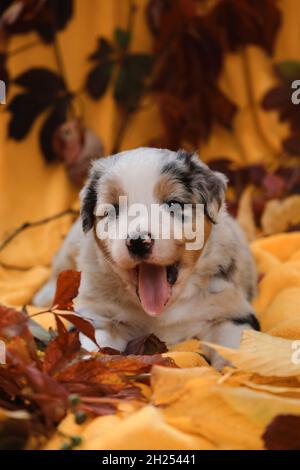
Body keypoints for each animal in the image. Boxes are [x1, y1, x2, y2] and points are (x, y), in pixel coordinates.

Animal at [34, 147, 258, 368]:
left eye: (174, 204)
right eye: (112, 209)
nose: (138, 241)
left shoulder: (229, 311)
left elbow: (233, 345)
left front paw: (233, 373)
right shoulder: (98, 316)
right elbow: (94, 344)